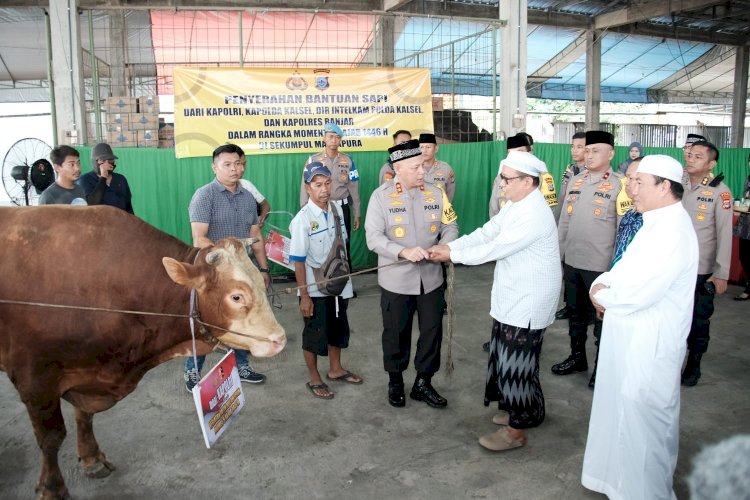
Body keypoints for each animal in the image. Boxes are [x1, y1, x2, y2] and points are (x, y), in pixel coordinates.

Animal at [0, 205, 286, 498]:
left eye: (261, 282)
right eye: (236, 296)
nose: (279, 338)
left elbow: (84, 415)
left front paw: (91, 458)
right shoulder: (35, 379)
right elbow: (51, 438)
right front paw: (52, 488)